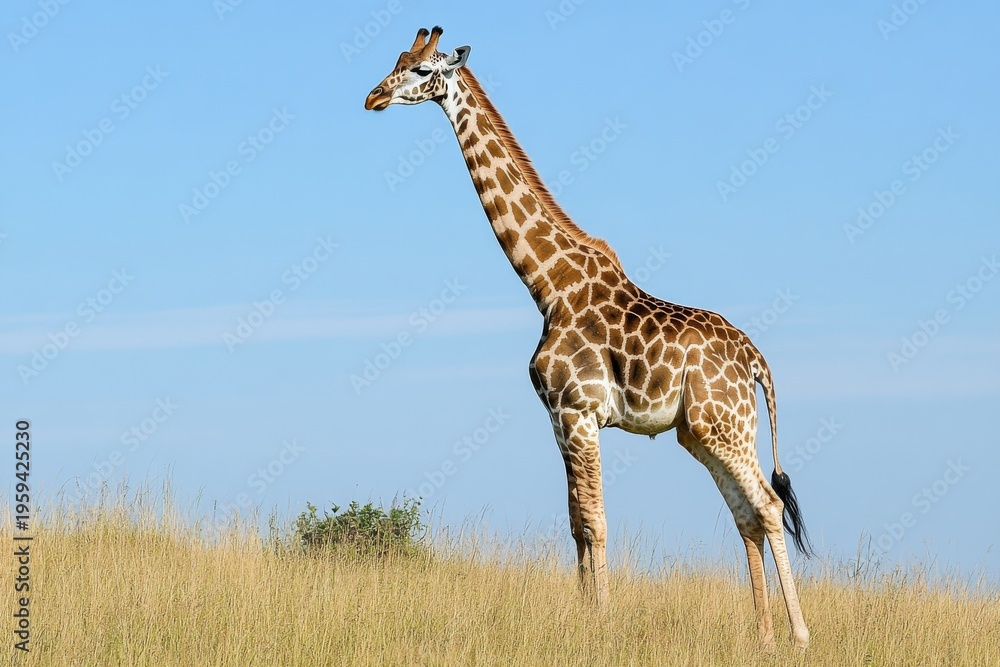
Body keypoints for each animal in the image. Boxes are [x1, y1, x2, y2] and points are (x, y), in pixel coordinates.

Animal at [364, 27, 812, 651]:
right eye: (397, 60)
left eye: (422, 69)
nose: (373, 98)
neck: (547, 284)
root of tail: (757, 361)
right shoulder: (557, 415)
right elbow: (576, 521)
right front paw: (583, 617)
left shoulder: (579, 410)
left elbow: (595, 521)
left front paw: (600, 623)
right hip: (700, 433)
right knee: (746, 514)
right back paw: (764, 638)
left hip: (724, 426)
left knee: (768, 507)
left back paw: (799, 636)